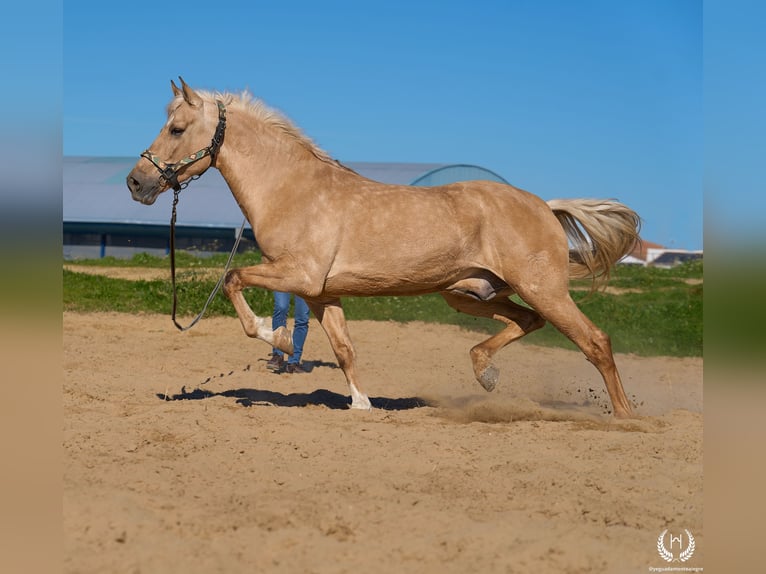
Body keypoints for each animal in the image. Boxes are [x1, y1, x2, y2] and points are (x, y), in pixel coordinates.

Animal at [127, 77, 641, 418]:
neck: (292, 189)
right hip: (469, 293)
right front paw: (361, 404)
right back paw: (486, 375)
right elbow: (344, 350)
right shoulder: (322, 293)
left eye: (176, 129)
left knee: (595, 342)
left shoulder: (298, 275)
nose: (136, 182)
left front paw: (277, 339)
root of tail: (544, 207)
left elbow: (235, 281)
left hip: (543, 289)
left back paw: (625, 418)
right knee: (527, 324)